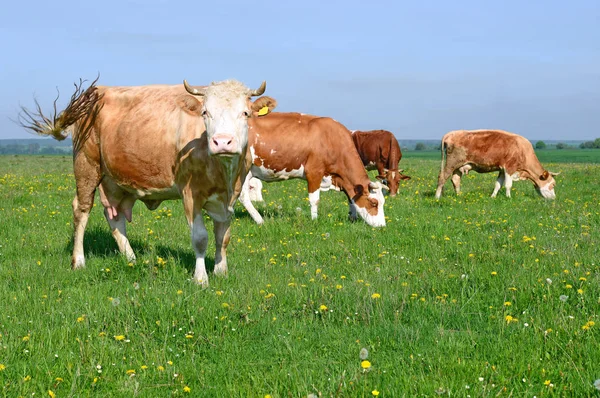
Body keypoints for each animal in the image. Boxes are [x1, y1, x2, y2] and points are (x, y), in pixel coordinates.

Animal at [18, 76, 272, 286]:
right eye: (205, 113)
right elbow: (200, 238)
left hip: (115, 180)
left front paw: (221, 271)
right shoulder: (190, 193)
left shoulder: (229, 196)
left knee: (114, 216)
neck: (222, 170)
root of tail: (95, 92)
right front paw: (201, 279)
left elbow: (223, 236)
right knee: (81, 210)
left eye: (245, 113)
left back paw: (130, 258)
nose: (223, 142)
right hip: (86, 165)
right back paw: (78, 261)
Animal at [237, 111, 386, 227]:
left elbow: (351, 198)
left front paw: (352, 218)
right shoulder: (314, 172)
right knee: (242, 196)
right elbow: (315, 200)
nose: (382, 226)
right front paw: (314, 221)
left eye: (383, 202)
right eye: (374, 203)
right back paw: (260, 220)